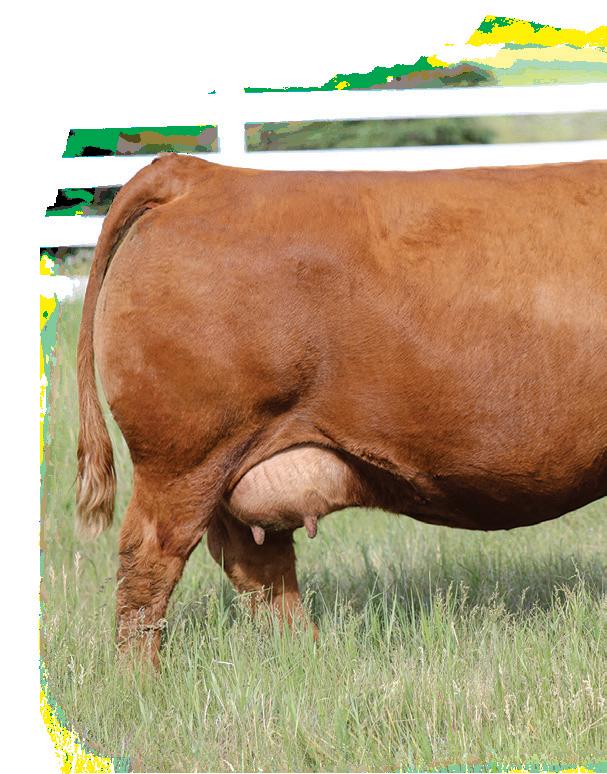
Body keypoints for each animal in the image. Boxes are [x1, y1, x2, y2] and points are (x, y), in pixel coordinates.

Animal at [76, 153, 607, 663]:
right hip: (183, 459)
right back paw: (142, 678)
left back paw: (307, 658)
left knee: (256, 565)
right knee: (150, 564)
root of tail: (197, 172)